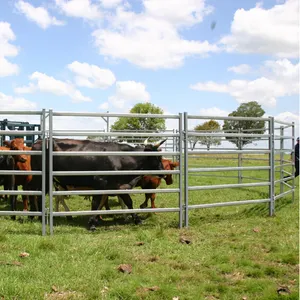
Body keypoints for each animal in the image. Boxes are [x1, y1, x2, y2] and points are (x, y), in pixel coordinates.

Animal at [27, 138, 166, 230]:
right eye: (157, 157)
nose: (164, 173)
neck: (120, 158)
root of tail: (38, 142)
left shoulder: (119, 186)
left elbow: (129, 202)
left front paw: (137, 219)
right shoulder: (99, 184)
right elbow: (95, 203)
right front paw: (92, 223)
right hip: (40, 177)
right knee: (35, 193)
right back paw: (35, 216)